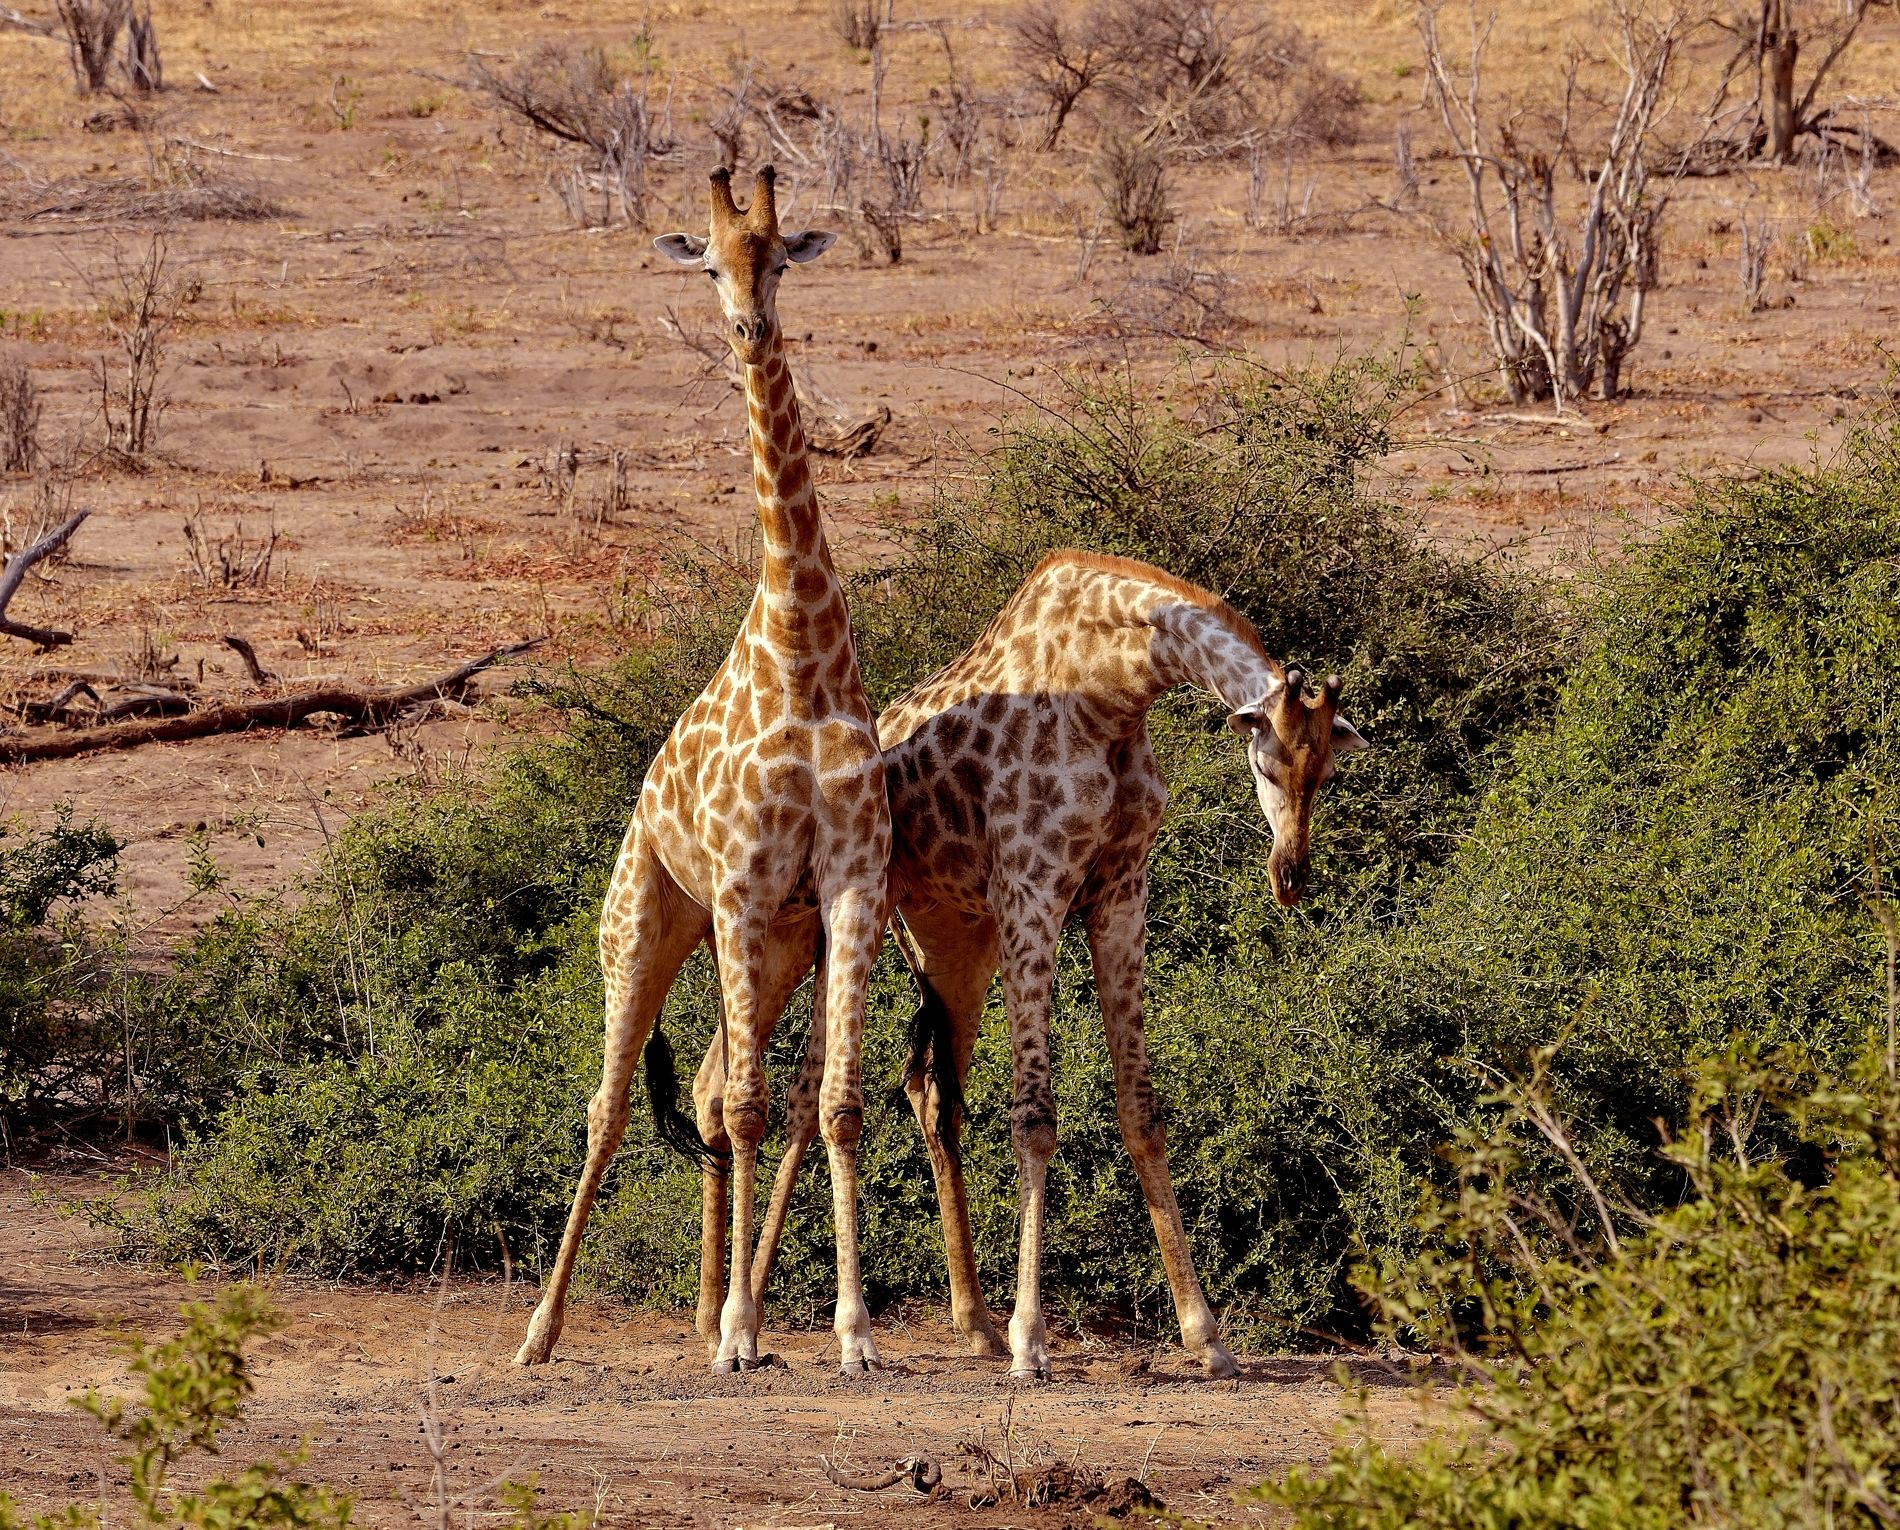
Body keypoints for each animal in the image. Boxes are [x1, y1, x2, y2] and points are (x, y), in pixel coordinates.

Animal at [513, 165, 892, 1376]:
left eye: (776, 257)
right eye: (710, 260)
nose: (745, 324)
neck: (804, 655)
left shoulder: (848, 890)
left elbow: (835, 1107)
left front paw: (848, 1335)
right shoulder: (737, 887)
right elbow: (748, 1113)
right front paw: (738, 1335)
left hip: (769, 951)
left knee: (723, 1086)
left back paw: (711, 1311)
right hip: (648, 920)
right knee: (616, 1104)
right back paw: (546, 1332)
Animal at [700, 550, 1366, 1379]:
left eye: (1328, 775)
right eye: (1267, 766)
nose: (1290, 877)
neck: (1116, 690)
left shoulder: (1120, 894)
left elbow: (1142, 1112)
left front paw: (1205, 1335)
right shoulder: (1035, 891)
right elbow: (1034, 1118)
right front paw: (1032, 1341)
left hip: (956, 940)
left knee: (919, 1090)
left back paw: (960, 1323)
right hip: (841, 922)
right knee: (782, 1084)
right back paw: (745, 1323)